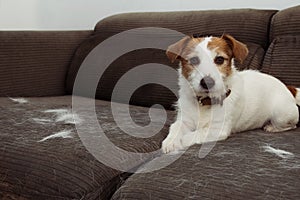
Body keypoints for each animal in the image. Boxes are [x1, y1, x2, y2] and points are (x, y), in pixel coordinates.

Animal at [162, 34, 300, 153]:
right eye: (194, 60)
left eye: (219, 59)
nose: (207, 82)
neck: (205, 102)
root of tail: (288, 88)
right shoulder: (184, 120)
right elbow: (175, 128)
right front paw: (171, 141)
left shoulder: (218, 129)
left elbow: (194, 134)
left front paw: (181, 141)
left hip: (281, 115)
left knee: (291, 125)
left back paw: (271, 127)